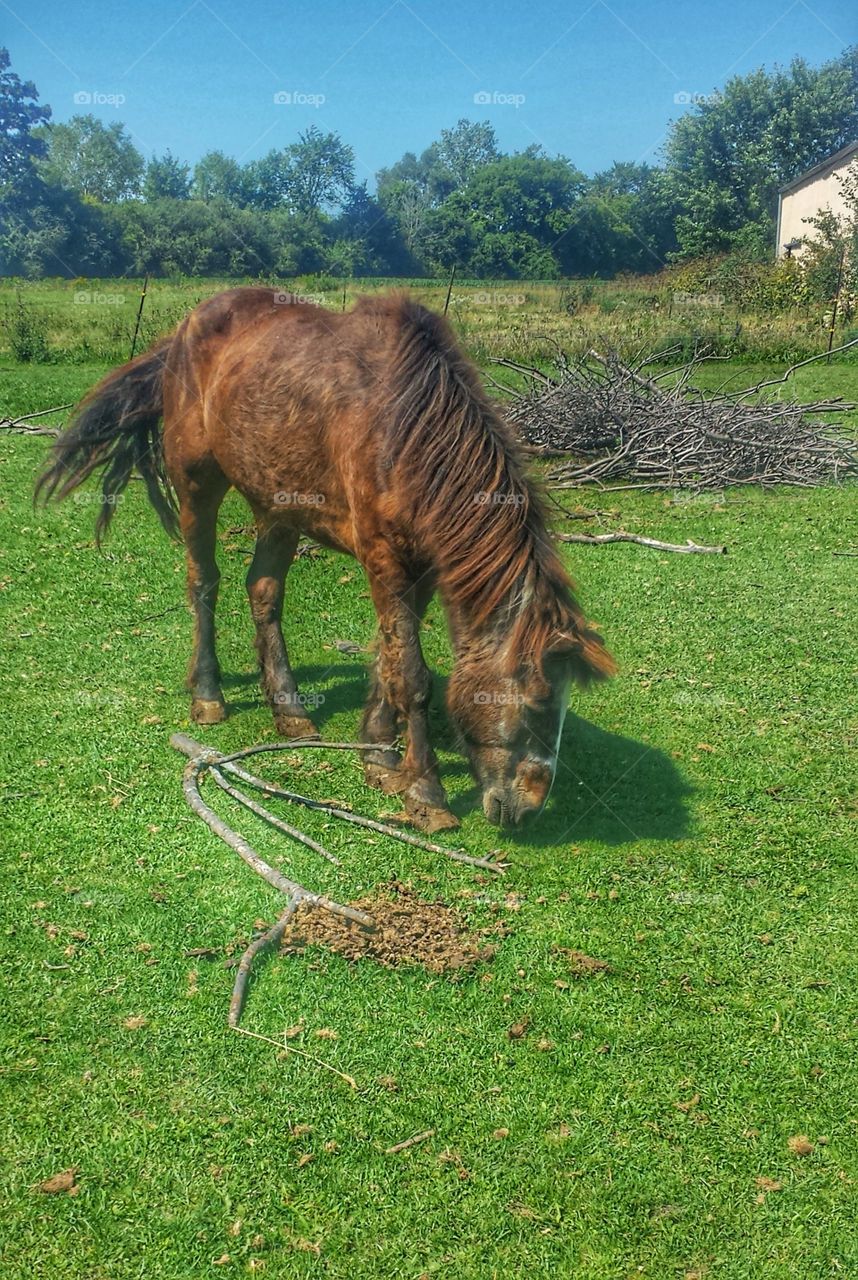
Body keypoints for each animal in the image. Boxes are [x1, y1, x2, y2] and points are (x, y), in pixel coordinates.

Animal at [36, 286, 614, 834]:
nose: (528, 809)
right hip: (197, 481)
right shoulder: (385, 560)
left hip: (279, 504)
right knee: (204, 581)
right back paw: (208, 695)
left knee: (263, 589)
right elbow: (412, 676)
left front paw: (379, 758)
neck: (407, 427)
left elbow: (387, 657)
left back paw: (289, 710)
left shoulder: (419, 567)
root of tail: (187, 326)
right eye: (537, 702)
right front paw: (425, 794)